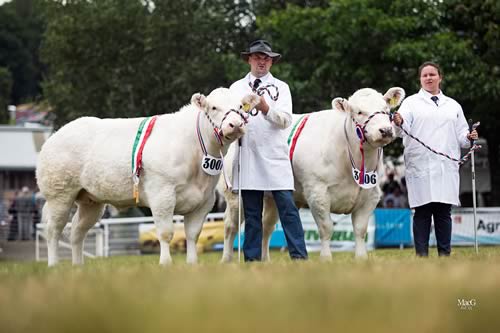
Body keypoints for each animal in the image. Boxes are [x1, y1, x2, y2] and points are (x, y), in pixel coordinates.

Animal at [37, 87, 260, 264]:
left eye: (241, 106)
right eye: (213, 107)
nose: (235, 125)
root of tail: (55, 135)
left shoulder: (204, 200)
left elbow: (193, 234)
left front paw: (192, 263)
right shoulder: (162, 194)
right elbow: (166, 233)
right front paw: (165, 263)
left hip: (91, 201)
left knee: (76, 231)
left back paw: (77, 266)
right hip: (59, 194)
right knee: (53, 230)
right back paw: (54, 265)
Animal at [222, 87, 406, 260]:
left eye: (386, 109)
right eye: (359, 112)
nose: (386, 130)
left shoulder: (371, 195)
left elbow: (360, 229)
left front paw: (361, 259)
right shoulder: (317, 192)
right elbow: (326, 228)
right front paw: (326, 258)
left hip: (272, 197)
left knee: (266, 226)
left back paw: (265, 260)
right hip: (236, 195)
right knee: (231, 225)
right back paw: (227, 260)